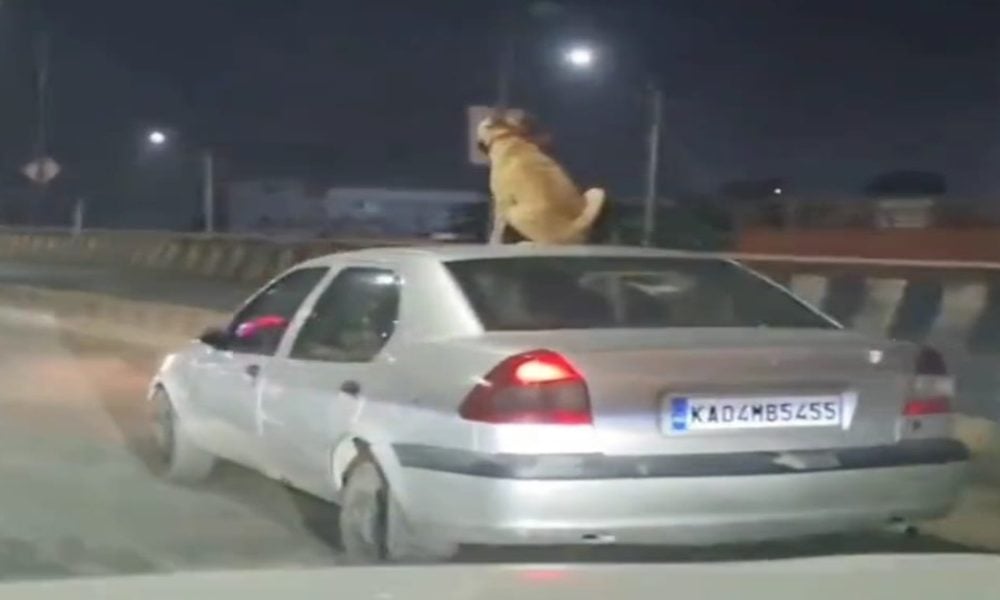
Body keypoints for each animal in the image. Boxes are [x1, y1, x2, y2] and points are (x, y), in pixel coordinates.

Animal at [476, 111, 608, 245]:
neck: (505, 136)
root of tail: (576, 228)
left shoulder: (502, 202)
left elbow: (497, 229)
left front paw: (493, 242)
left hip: (515, 213)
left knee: (544, 242)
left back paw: (527, 244)